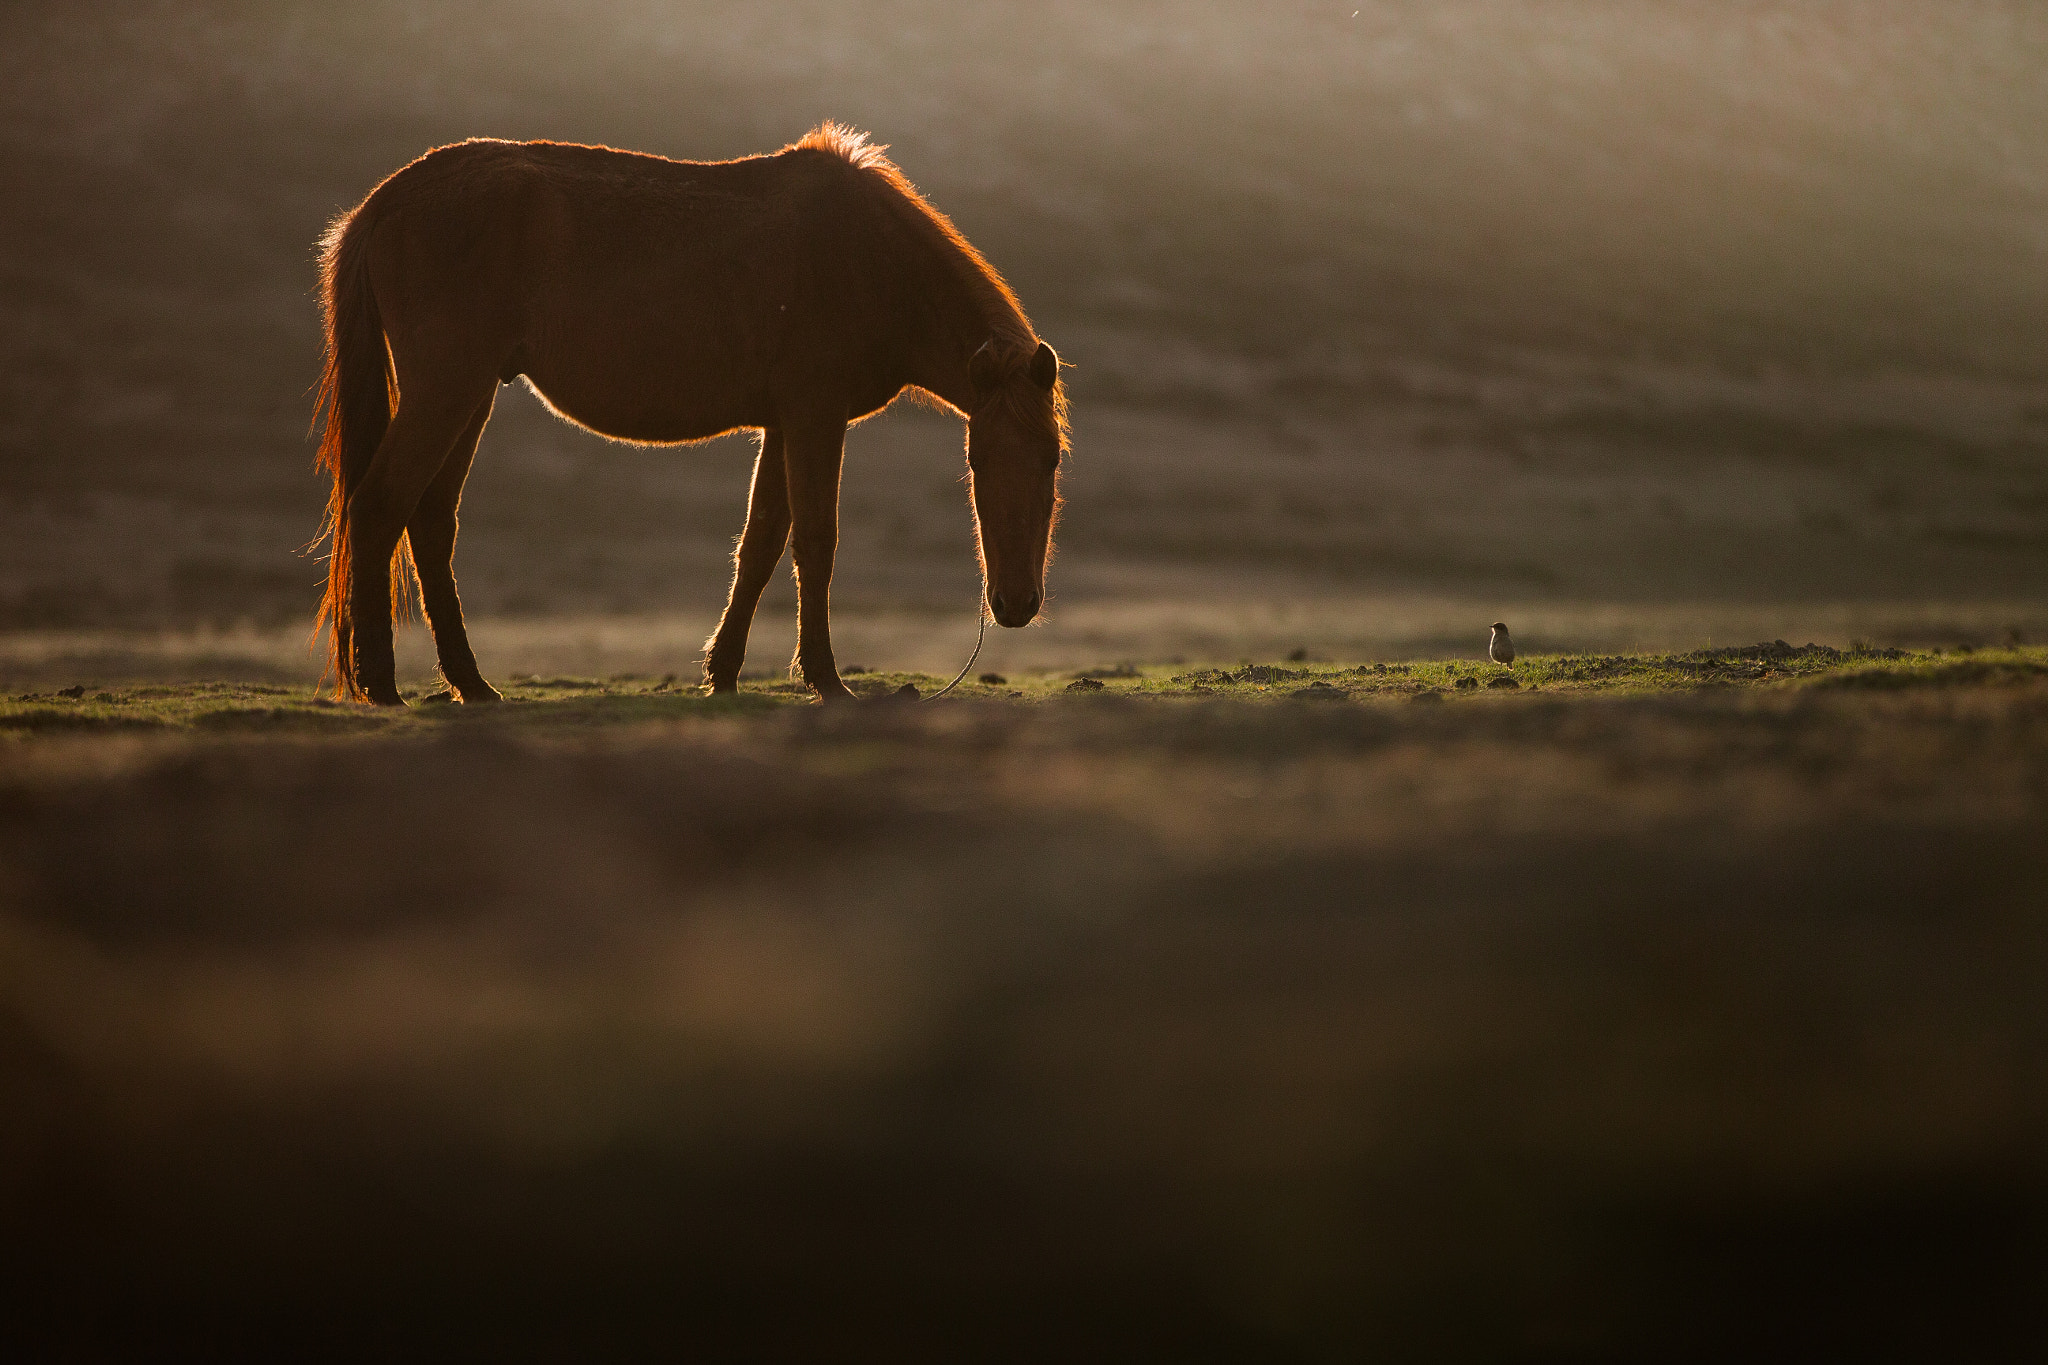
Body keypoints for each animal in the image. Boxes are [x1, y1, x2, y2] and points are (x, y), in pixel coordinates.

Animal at [315, 120, 1073, 703]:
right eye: (975, 460)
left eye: (1052, 460)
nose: (1015, 604)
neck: (869, 258)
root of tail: (389, 198)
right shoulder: (815, 417)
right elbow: (815, 541)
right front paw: (827, 681)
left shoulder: (784, 423)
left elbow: (761, 543)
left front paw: (725, 672)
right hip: (445, 390)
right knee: (380, 506)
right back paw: (383, 684)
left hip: (470, 396)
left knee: (430, 521)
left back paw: (471, 684)